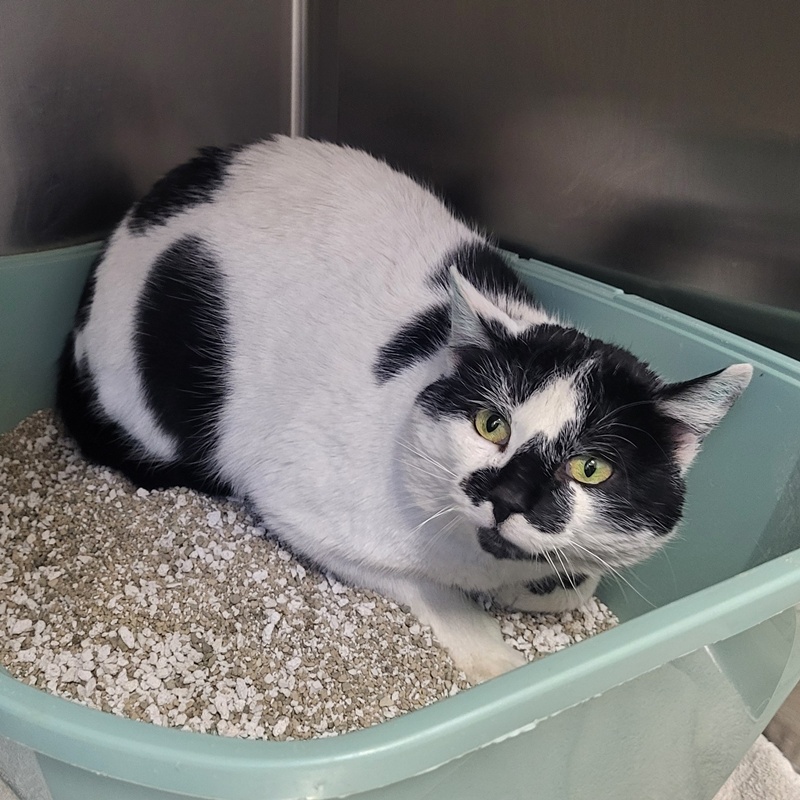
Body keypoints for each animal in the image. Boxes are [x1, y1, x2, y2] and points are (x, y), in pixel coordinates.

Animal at [57, 135, 752, 683]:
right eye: (491, 425)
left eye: (591, 469)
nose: (507, 496)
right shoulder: (295, 504)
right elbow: (427, 585)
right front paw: (489, 652)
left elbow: (575, 582)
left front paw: (547, 590)